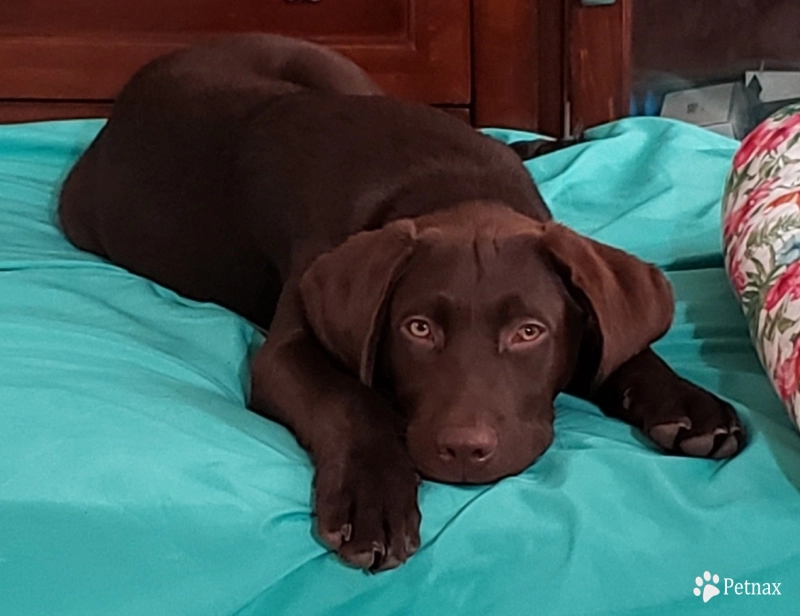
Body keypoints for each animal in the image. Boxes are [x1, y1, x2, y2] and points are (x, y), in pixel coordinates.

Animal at [59, 35, 748, 572]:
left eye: (529, 332)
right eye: (417, 329)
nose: (466, 452)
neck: (453, 186)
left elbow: (622, 348)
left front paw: (689, 406)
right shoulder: (286, 352)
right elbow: (350, 400)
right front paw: (373, 504)